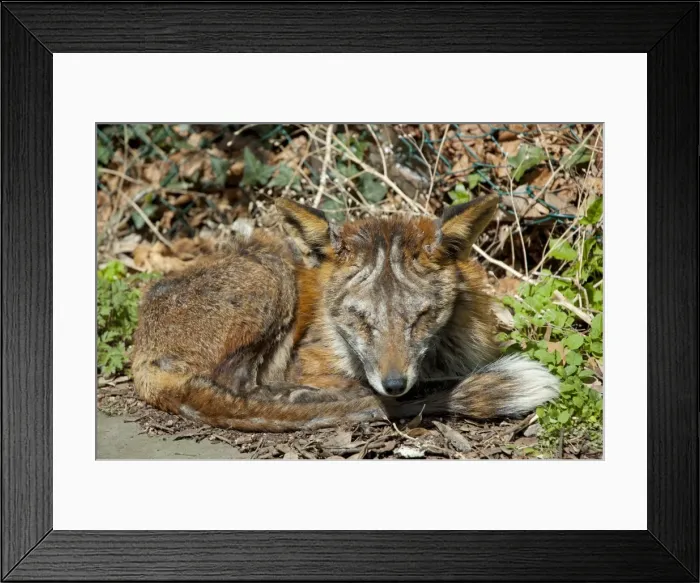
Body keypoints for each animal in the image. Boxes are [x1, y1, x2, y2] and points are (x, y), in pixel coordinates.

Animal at [132, 194, 560, 432]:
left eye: (421, 317)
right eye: (360, 318)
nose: (393, 385)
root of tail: (140, 353)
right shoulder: (307, 361)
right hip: (274, 272)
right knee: (238, 386)